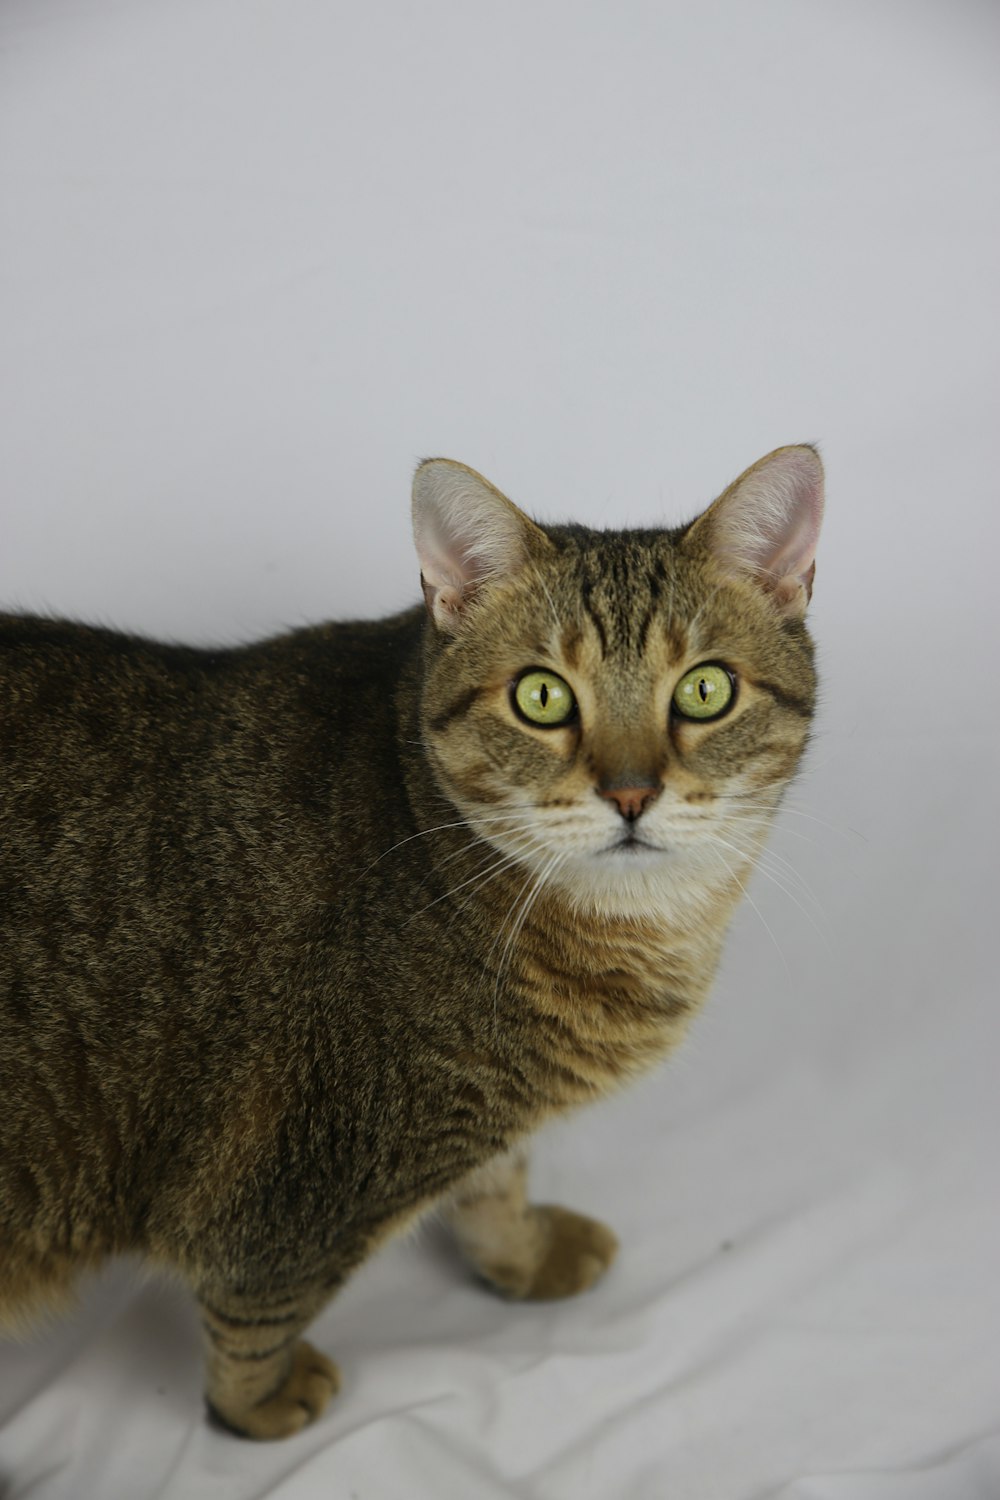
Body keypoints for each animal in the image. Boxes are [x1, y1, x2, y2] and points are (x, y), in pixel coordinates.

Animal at [0, 447, 827, 1440]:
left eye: (706, 690)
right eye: (542, 696)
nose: (631, 793)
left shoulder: (482, 1117)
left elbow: (496, 1189)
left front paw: (524, 1256)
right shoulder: (296, 1187)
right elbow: (255, 1309)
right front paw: (258, 1405)